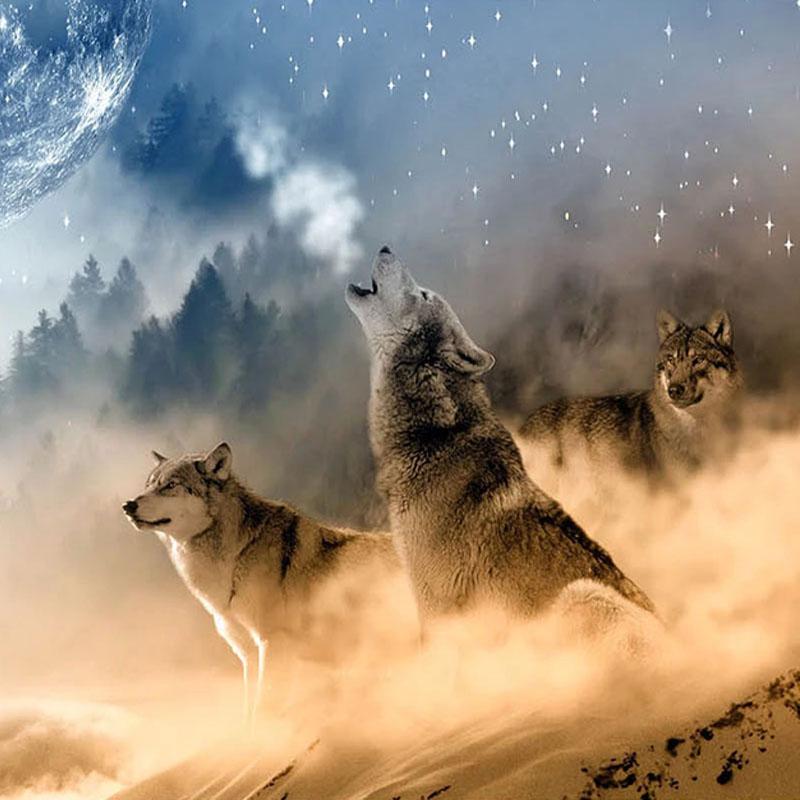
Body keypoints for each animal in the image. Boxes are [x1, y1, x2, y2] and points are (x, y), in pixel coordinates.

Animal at [122, 442, 406, 720]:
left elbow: (263, 710)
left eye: (170, 485)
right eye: (149, 485)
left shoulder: (273, 644)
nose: (128, 505)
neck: (235, 556)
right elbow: (249, 713)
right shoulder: (248, 654)